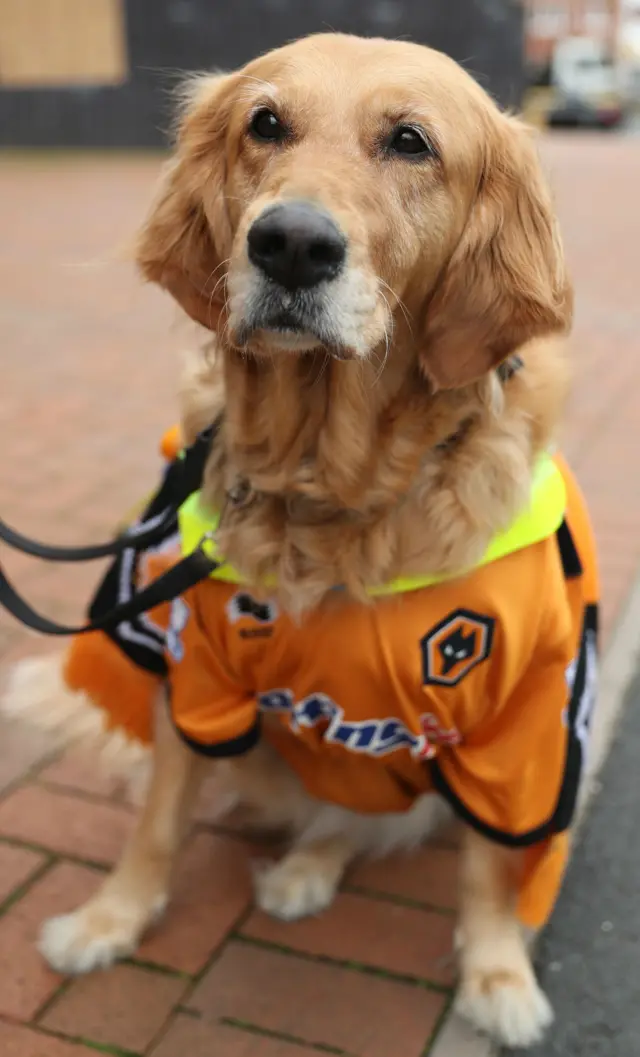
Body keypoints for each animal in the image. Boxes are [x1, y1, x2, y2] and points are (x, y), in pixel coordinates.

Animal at [3, 30, 600, 1048]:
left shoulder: (525, 715)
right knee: (330, 816)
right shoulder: (194, 673)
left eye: (410, 142)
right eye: (266, 124)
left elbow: (491, 867)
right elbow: (158, 818)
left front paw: (497, 974)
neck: (332, 487)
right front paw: (110, 918)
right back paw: (303, 867)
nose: (289, 244)